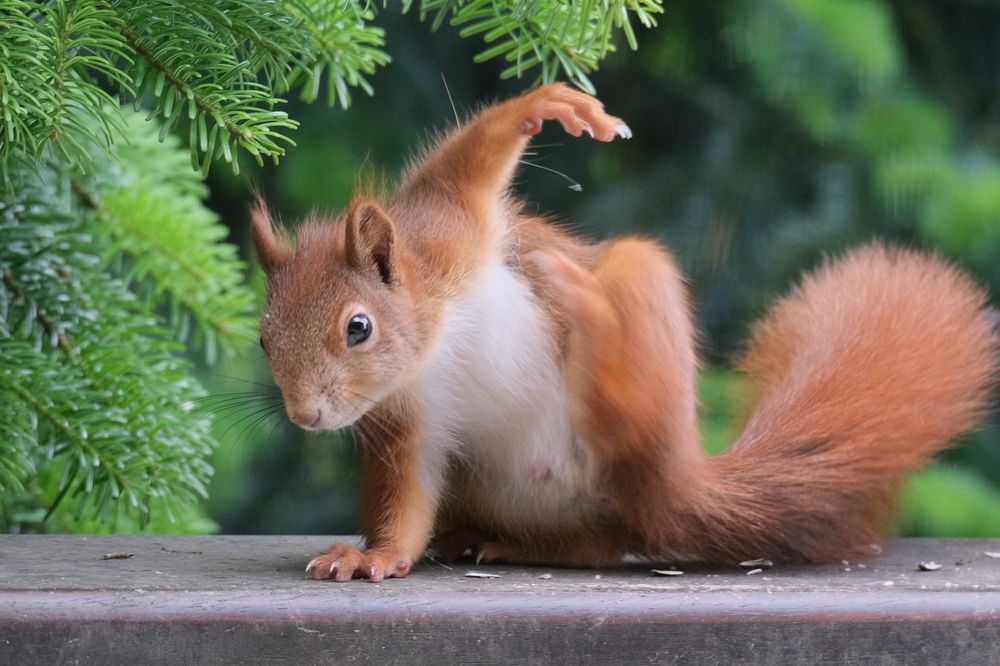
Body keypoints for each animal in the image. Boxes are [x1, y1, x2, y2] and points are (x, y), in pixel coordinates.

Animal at [250, 83, 1000, 580]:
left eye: (359, 327)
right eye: (261, 338)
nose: (305, 415)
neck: (431, 345)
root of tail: (673, 486)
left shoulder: (450, 231)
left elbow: (464, 168)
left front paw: (545, 104)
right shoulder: (411, 422)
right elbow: (404, 501)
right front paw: (373, 555)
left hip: (646, 306)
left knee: (629, 418)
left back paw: (587, 307)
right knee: (597, 541)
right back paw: (492, 540)